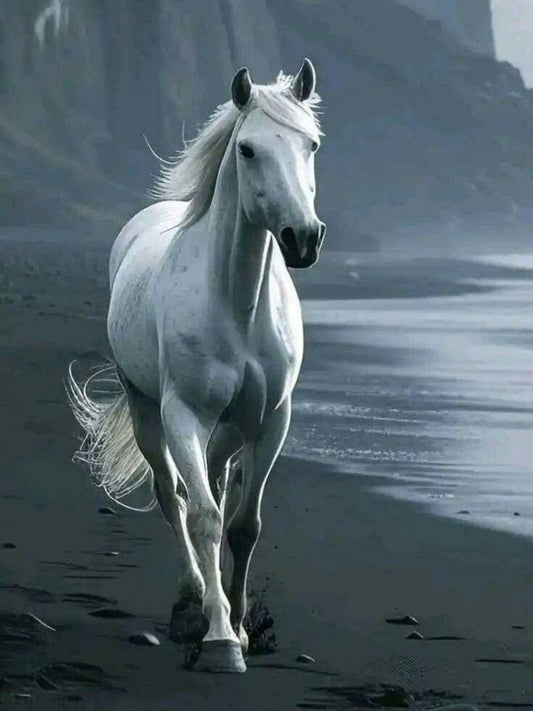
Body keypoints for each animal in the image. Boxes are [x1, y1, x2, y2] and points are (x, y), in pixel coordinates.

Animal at [67, 58, 326, 673]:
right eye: (248, 150)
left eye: (310, 144)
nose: (303, 238)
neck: (239, 306)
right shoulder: (182, 414)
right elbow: (203, 517)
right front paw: (220, 640)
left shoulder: (271, 421)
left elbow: (244, 525)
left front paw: (242, 624)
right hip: (147, 411)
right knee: (173, 495)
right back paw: (191, 601)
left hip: (230, 428)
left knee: (218, 480)